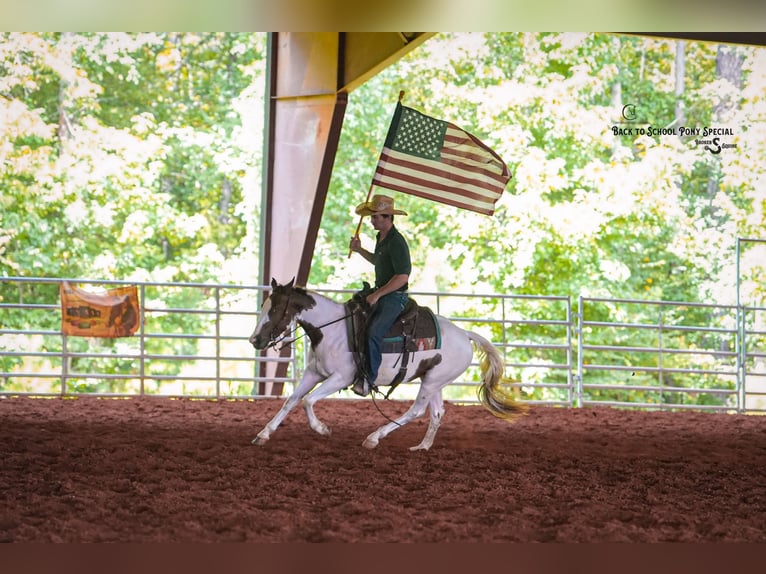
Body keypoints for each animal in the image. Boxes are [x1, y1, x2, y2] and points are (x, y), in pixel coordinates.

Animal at [249, 278, 526, 450]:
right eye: (264, 305)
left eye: (275, 309)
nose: (255, 340)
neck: (332, 330)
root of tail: (464, 334)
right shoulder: (314, 373)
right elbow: (292, 400)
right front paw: (263, 434)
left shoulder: (341, 377)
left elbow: (308, 401)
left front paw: (322, 429)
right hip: (433, 379)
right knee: (437, 412)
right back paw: (422, 446)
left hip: (432, 382)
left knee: (416, 411)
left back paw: (374, 438)